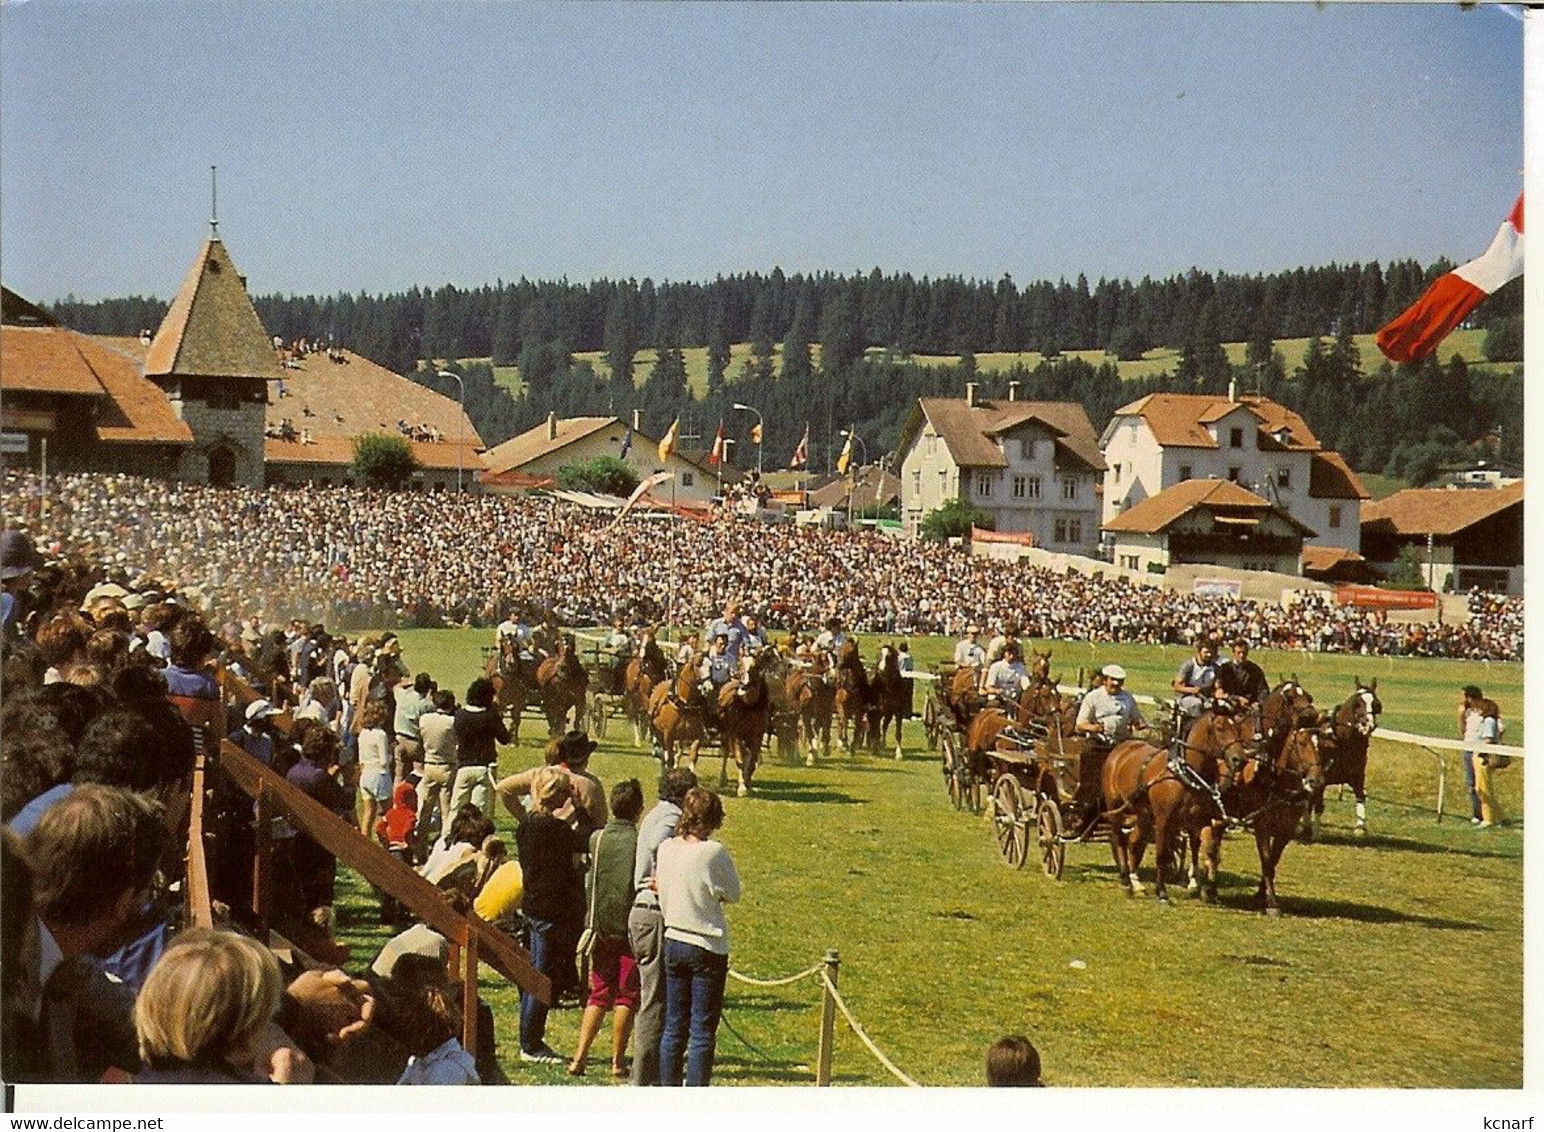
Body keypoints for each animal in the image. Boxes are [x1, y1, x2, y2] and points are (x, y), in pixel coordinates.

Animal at [716, 645, 778, 796]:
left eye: (755, 666)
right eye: (740, 664)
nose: (744, 685)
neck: (748, 705)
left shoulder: (757, 735)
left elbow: (751, 759)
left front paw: (748, 783)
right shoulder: (736, 735)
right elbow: (740, 758)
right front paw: (742, 787)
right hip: (726, 734)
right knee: (726, 753)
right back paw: (723, 779)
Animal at [1099, 710, 1253, 908]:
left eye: (1238, 728)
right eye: (1220, 728)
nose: (1239, 760)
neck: (1184, 774)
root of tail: (1122, 748)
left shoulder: (1200, 820)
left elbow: (1207, 850)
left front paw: (1205, 889)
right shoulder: (1163, 820)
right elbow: (1162, 855)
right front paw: (1162, 892)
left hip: (1144, 815)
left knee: (1134, 842)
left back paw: (1136, 883)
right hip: (1116, 808)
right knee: (1119, 840)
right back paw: (1126, 881)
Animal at [1296, 679, 1383, 840]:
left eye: (1376, 704)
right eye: (1357, 703)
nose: (1368, 725)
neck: (1342, 741)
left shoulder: (1357, 776)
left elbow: (1361, 796)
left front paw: (1360, 828)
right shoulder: (1321, 780)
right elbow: (1318, 805)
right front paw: (1315, 833)